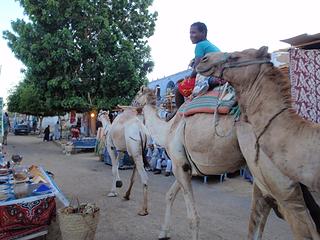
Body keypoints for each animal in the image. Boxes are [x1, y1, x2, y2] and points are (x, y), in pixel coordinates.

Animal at [132, 87, 245, 239]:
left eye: (138, 93)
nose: (132, 102)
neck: (168, 130)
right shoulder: (185, 166)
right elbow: (169, 195)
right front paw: (163, 232)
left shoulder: (179, 165)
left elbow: (193, 218)